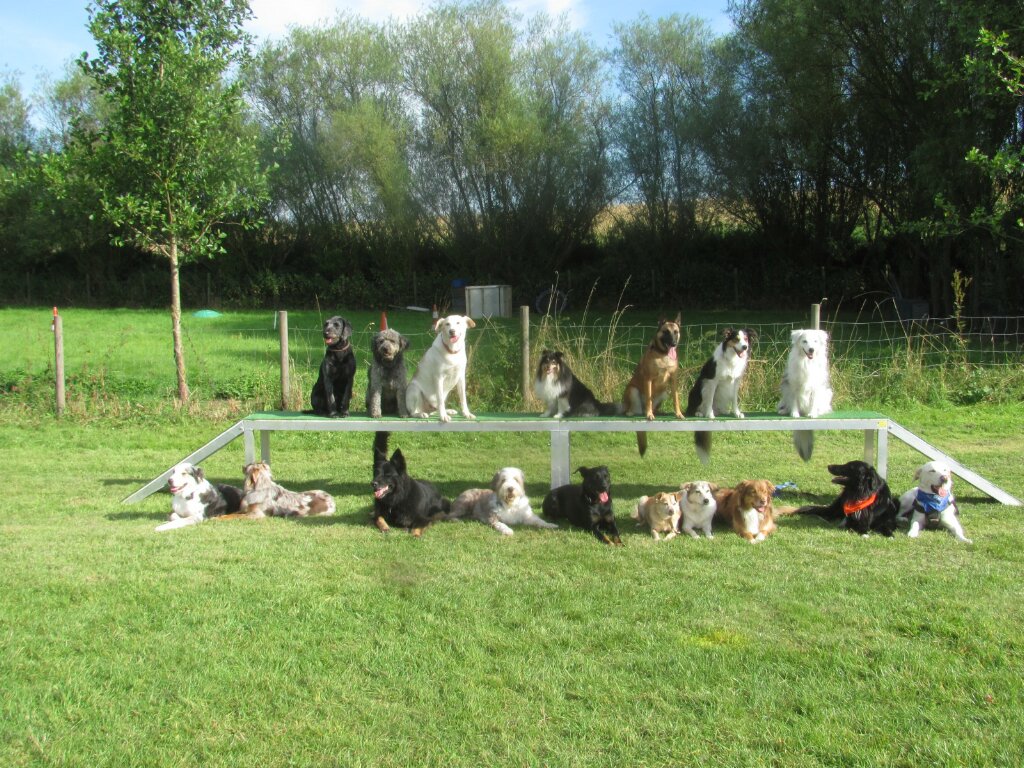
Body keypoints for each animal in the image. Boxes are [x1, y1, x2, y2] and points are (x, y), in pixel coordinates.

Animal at [622, 315, 684, 456]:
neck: (663, 355)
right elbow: (649, 399)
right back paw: (633, 412)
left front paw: (678, 414)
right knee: (635, 408)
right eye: (666, 332)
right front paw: (649, 415)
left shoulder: (673, 381)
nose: (673, 344)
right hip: (632, 390)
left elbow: (676, 400)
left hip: (665, 392)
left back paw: (657, 411)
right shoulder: (648, 379)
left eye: (676, 332)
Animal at [686, 328, 755, 463]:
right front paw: (709, 414)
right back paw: (699, 412)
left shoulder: (736, 381)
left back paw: (723, 411)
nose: (745, 347)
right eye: (736, 339)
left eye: (746, 339)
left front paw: (737, 413)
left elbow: (735, 400)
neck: (731, 358)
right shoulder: (713, 381)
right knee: (694, 407)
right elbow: (710, 400)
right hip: (699, 388)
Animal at [777, 329, 833, 461]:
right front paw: (794, 413)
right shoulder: (793, 385)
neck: (807, 362)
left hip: (828, 393)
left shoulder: (816, 387)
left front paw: (813, 413)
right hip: (785, 387)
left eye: (815, 341)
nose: (811, 349)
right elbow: (794, 401)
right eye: (804, 341)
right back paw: (784, 410)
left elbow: (813, 402)